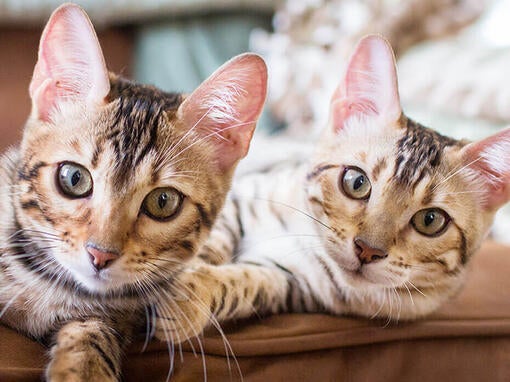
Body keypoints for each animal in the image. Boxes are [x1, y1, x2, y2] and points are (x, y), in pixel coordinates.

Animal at [0, 3, 268, 382]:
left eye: (163, 201)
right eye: (74, 178)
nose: (100, 255)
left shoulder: (109, 318)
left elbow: (91, 342)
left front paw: (84, 369)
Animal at [154, 33, 510, 344]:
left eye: (431, 220)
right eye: (356, 182)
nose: (368, 250)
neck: (308, 237)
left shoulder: (288, 283)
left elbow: (243, 282)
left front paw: (189, 298)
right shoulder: (243, 194)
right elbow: (215, 234)